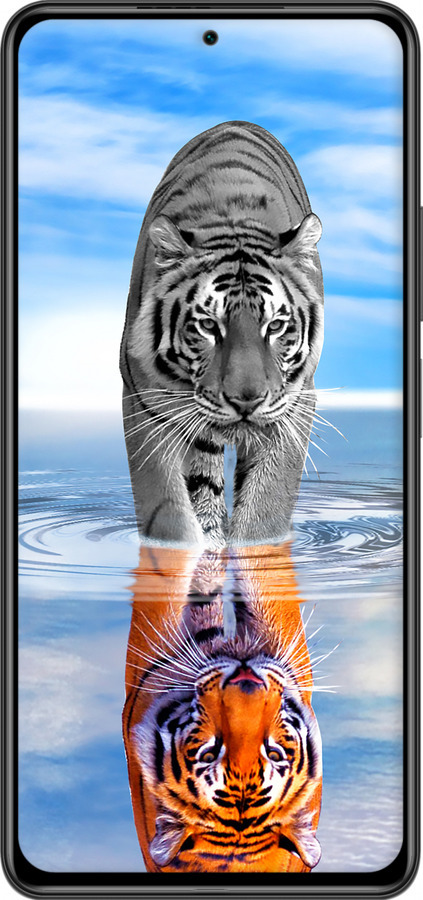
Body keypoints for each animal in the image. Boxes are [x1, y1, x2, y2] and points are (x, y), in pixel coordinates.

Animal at [120, 120, 324, 548]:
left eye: (275, 326)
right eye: (208, 325)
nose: (246, 401)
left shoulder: (295, 404)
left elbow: (266, 508)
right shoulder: (144, 401)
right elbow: (167, 511)